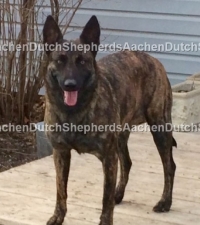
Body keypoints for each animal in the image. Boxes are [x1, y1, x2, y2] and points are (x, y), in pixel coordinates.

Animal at [42, 14, 177, 225]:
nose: (70, 85)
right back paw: (118, 194)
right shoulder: (60, 153)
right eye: (60, 60)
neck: (74, 112)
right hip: (121, 135)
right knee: (127, 163)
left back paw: (165, 202)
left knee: (169, 165)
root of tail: (153, 59)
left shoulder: (108, 157)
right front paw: (58, 216)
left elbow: (105, 197)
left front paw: (105, 219)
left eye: (82, 61)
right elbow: (60, 189)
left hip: (160, 128)